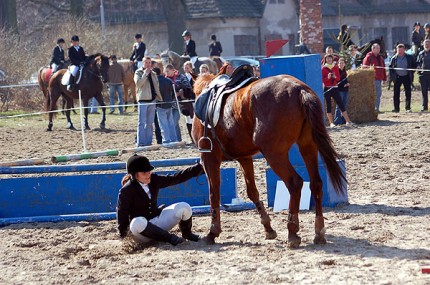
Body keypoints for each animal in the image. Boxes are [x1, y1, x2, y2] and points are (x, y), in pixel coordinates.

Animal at [191, 65, 346, 246]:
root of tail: (298, 89)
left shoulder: (209, 159)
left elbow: (214, 194)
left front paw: (213, 232)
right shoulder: (244, 158)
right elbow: (252, 191)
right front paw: (268, 228)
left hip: (274, 154)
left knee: (295, 183)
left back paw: (292, 231)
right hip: (308, 146)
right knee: (316, 183)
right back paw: (319, 232)